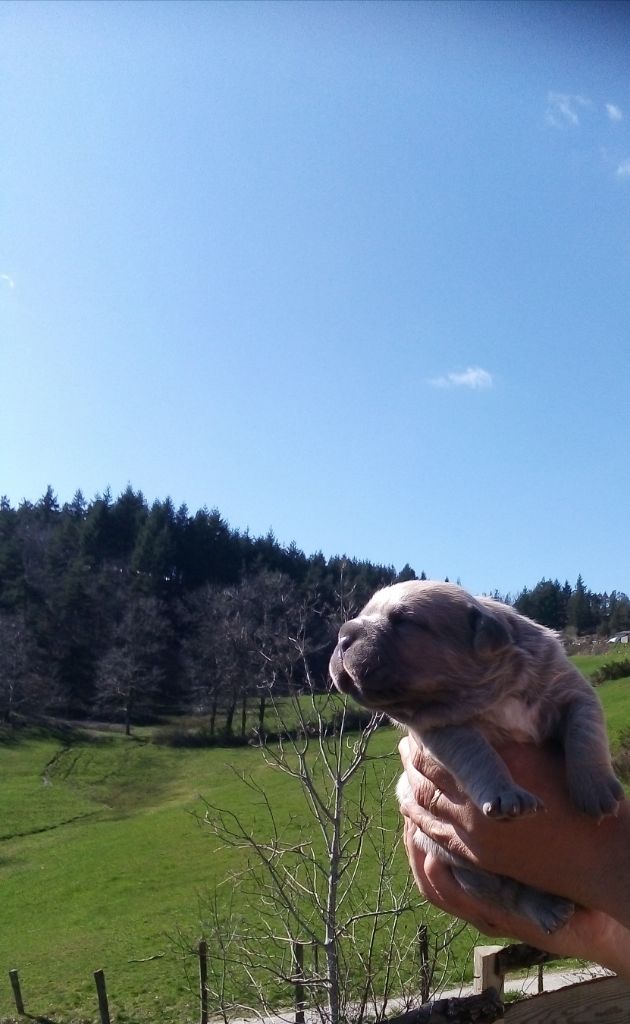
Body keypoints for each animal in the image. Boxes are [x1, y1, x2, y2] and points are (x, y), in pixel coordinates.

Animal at [327, 581, 622, 933]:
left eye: (403, 620)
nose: (343, 635)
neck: (488, 693)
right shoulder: (443, 729)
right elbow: (479, 755)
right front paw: (507, 797)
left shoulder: (573, 691)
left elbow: (585, 732)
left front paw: (596, 790)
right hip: (469, 871)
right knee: (510, 893)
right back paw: (547, 908)